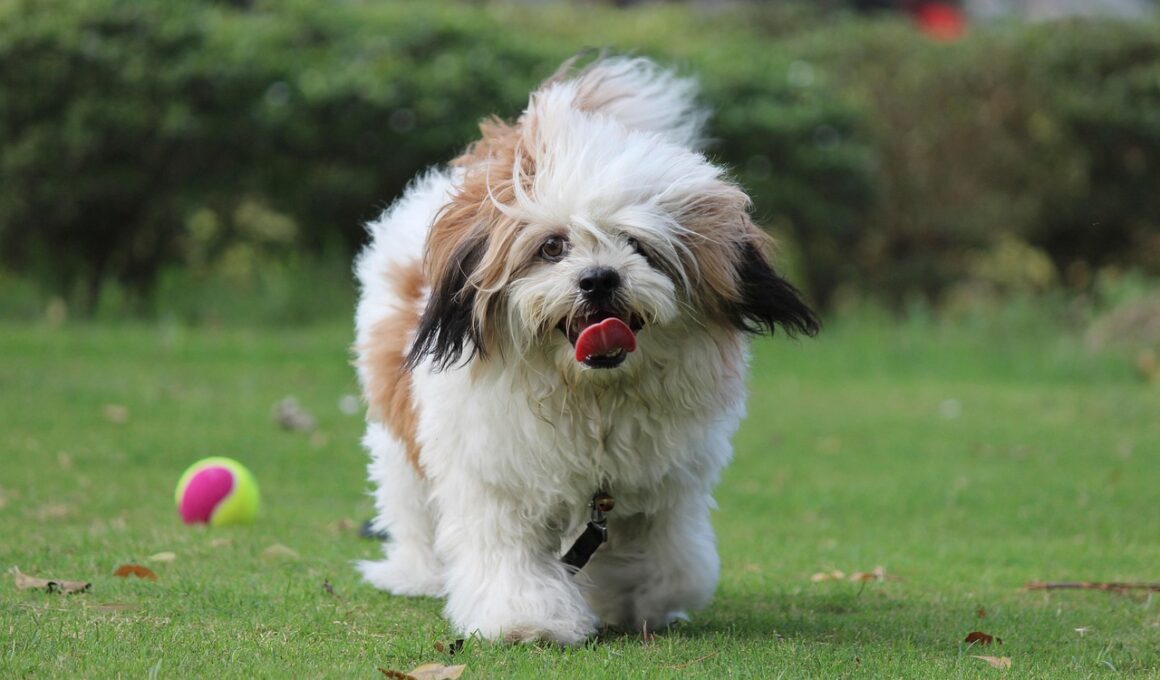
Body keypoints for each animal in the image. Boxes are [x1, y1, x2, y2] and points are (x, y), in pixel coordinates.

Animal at [354, 55, 819, 644]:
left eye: (638, 246)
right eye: (553, 247)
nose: (599, 279)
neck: (590, 395)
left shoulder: (661, 487)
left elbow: (671, 562)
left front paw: (636, 599)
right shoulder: (495, 476)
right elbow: (509, 556)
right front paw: (528, 618)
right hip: (401, 439)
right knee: (410, 503)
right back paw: (417, 573)